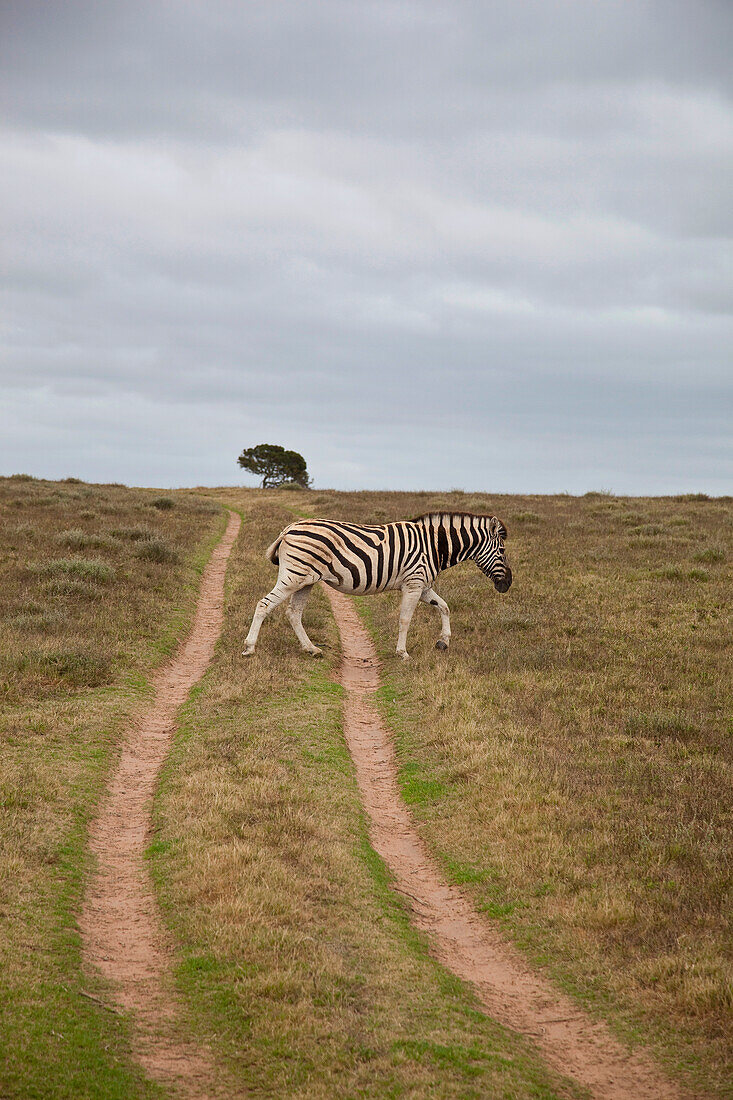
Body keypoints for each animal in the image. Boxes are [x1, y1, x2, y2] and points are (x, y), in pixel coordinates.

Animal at [242, 508, 510, 655]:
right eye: (502, 551)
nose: (507, 584)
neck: (433, 547)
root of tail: (289, 528)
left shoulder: (423, 586)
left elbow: (444, 607)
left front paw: (443, 641)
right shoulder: (414, 584)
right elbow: (405, 619)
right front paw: (402, 653)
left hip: (305, 580)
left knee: (294, 613)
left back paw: (311, 649)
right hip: (293, 575)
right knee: (264, 604)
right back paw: (249, 648)